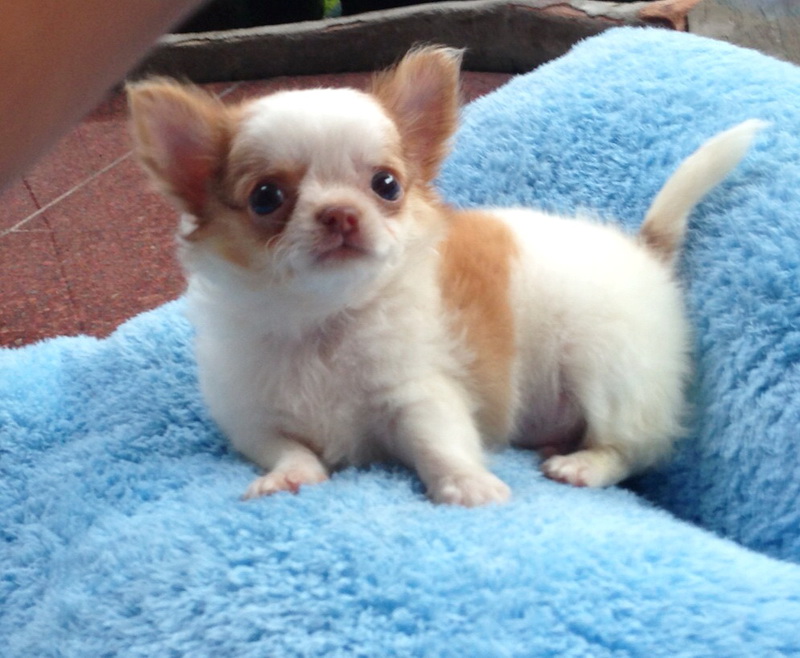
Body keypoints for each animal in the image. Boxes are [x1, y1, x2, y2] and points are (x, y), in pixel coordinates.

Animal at [128, 46, 762, 505]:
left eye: (386, 185)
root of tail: (642, 252)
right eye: (265, 197)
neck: (322, 320)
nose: (340, 213)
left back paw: (583, 463)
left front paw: (467, 486)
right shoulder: (251, 419)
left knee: (633, 446)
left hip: (609, 368)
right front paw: (289, 477)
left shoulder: (420, 394)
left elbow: (438, 444)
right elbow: (286, 448)